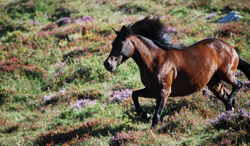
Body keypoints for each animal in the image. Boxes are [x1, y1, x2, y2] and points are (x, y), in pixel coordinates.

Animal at [103, 15, 250, 128]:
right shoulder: (152, 91)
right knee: (227, 101)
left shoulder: (164, 92)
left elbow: (157, 115)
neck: (154, 60)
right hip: (215, 83)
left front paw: (151, 131)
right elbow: (134, 95)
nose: (107, 64)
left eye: (121, 43)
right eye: (113, 43)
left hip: (226, 74)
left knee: (238, 85)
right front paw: (145, 114)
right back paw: (229, 117)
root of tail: (231, 48)